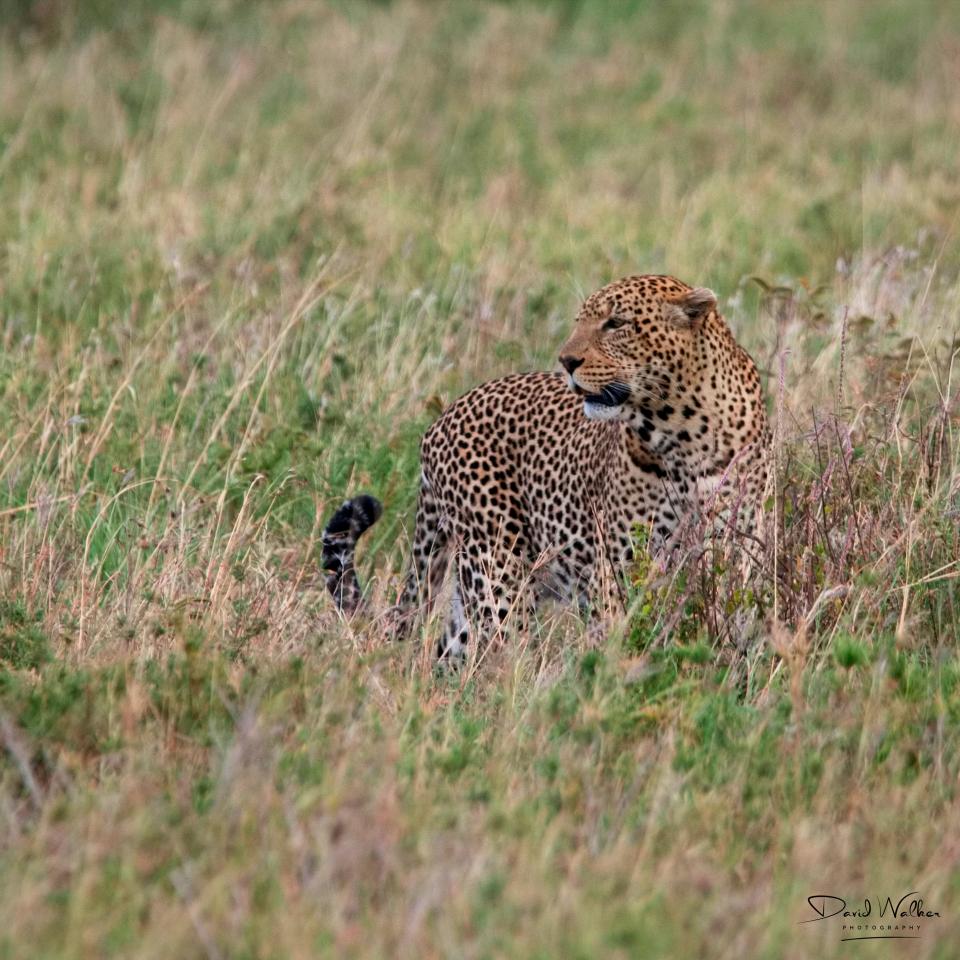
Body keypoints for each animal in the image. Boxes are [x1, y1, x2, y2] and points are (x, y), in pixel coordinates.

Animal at [322, 274, 769, 660]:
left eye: (616, 323)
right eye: (580, 322)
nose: (567, 360)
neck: (680, 431)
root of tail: (442, 418)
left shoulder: (731, 557)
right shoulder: (619, 570)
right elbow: (622, 641)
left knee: (451, 654)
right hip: (497, 572)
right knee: (501, 653)